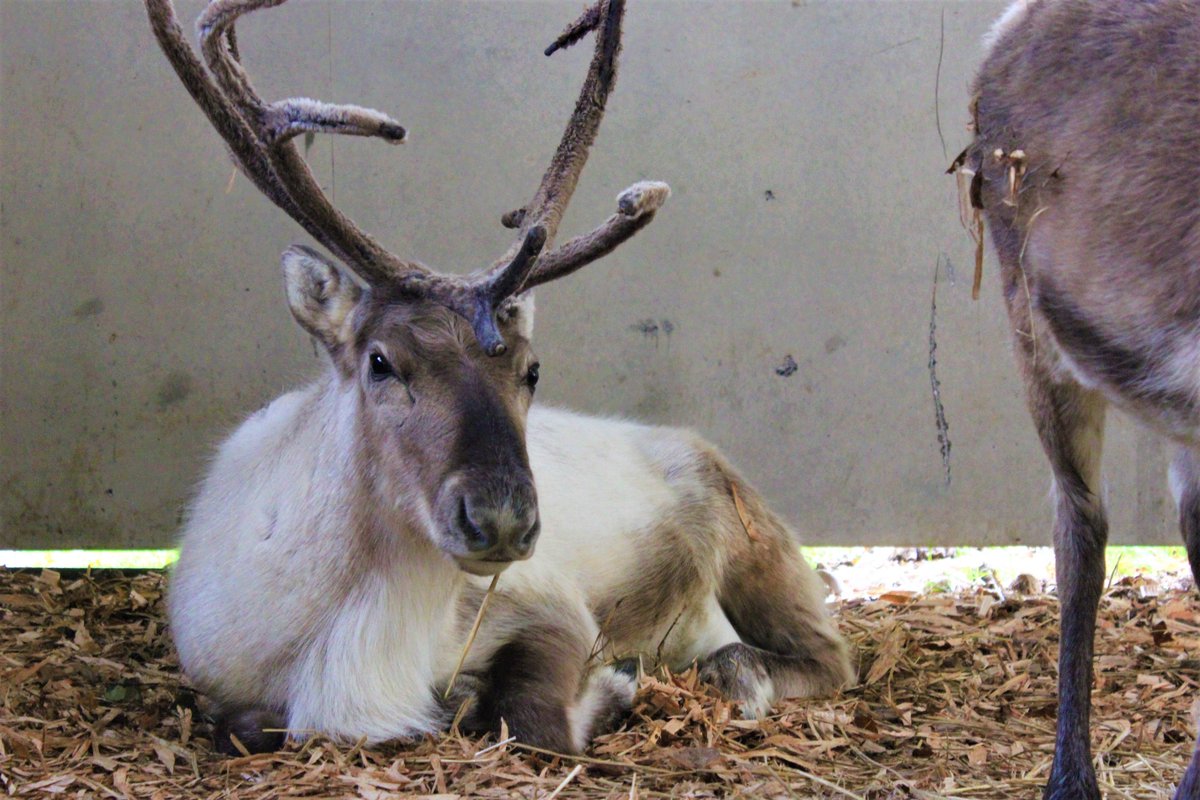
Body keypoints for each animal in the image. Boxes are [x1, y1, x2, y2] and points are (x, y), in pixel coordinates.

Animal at [147, 0, 854, 756]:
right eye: (380, 361)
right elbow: (242, 725)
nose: (503, 519)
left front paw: (610, 686)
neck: (347, 646)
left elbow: (535, 719)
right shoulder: (218, 679)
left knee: (819, 655)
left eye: (531, 367)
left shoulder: (553, 604)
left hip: (754, 541)